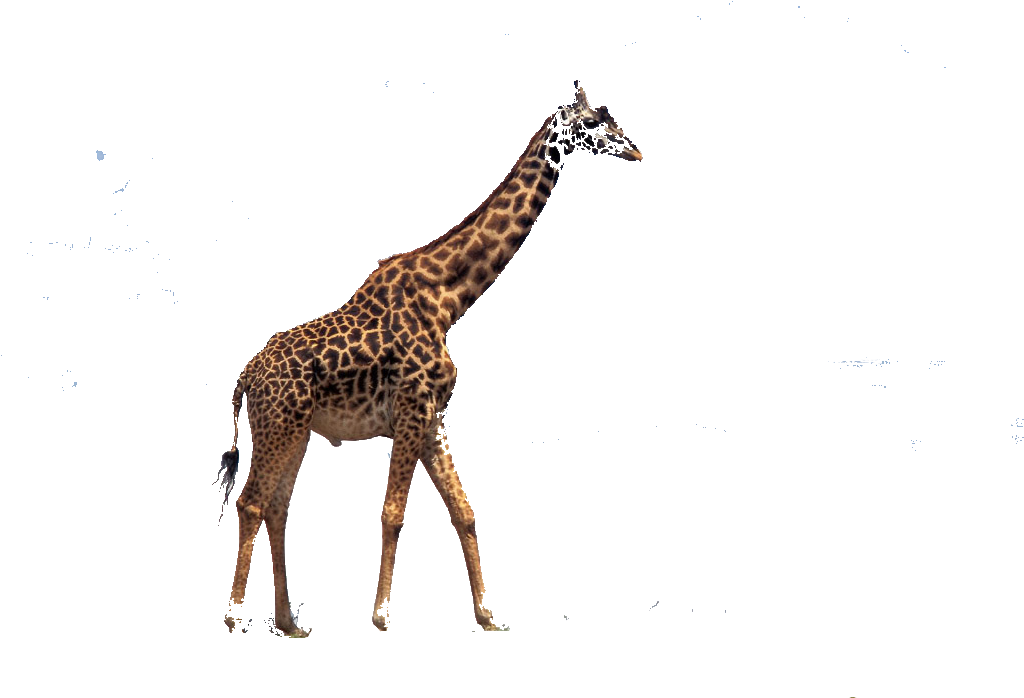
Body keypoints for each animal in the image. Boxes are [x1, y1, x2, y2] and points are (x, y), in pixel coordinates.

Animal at [216, 82, 642, 635]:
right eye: (592, 125)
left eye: (609, 115)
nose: (634, 150)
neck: (449, 301)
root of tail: (247, 375)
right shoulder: (411, 411)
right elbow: (393, 514)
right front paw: (380, 616)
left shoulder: (433, 420)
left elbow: (464, 512)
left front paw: (487, 616)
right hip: (278, 424)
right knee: (251, 502)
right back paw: (235, 617)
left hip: (295, 429)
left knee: (276, 505)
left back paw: (289, 622)